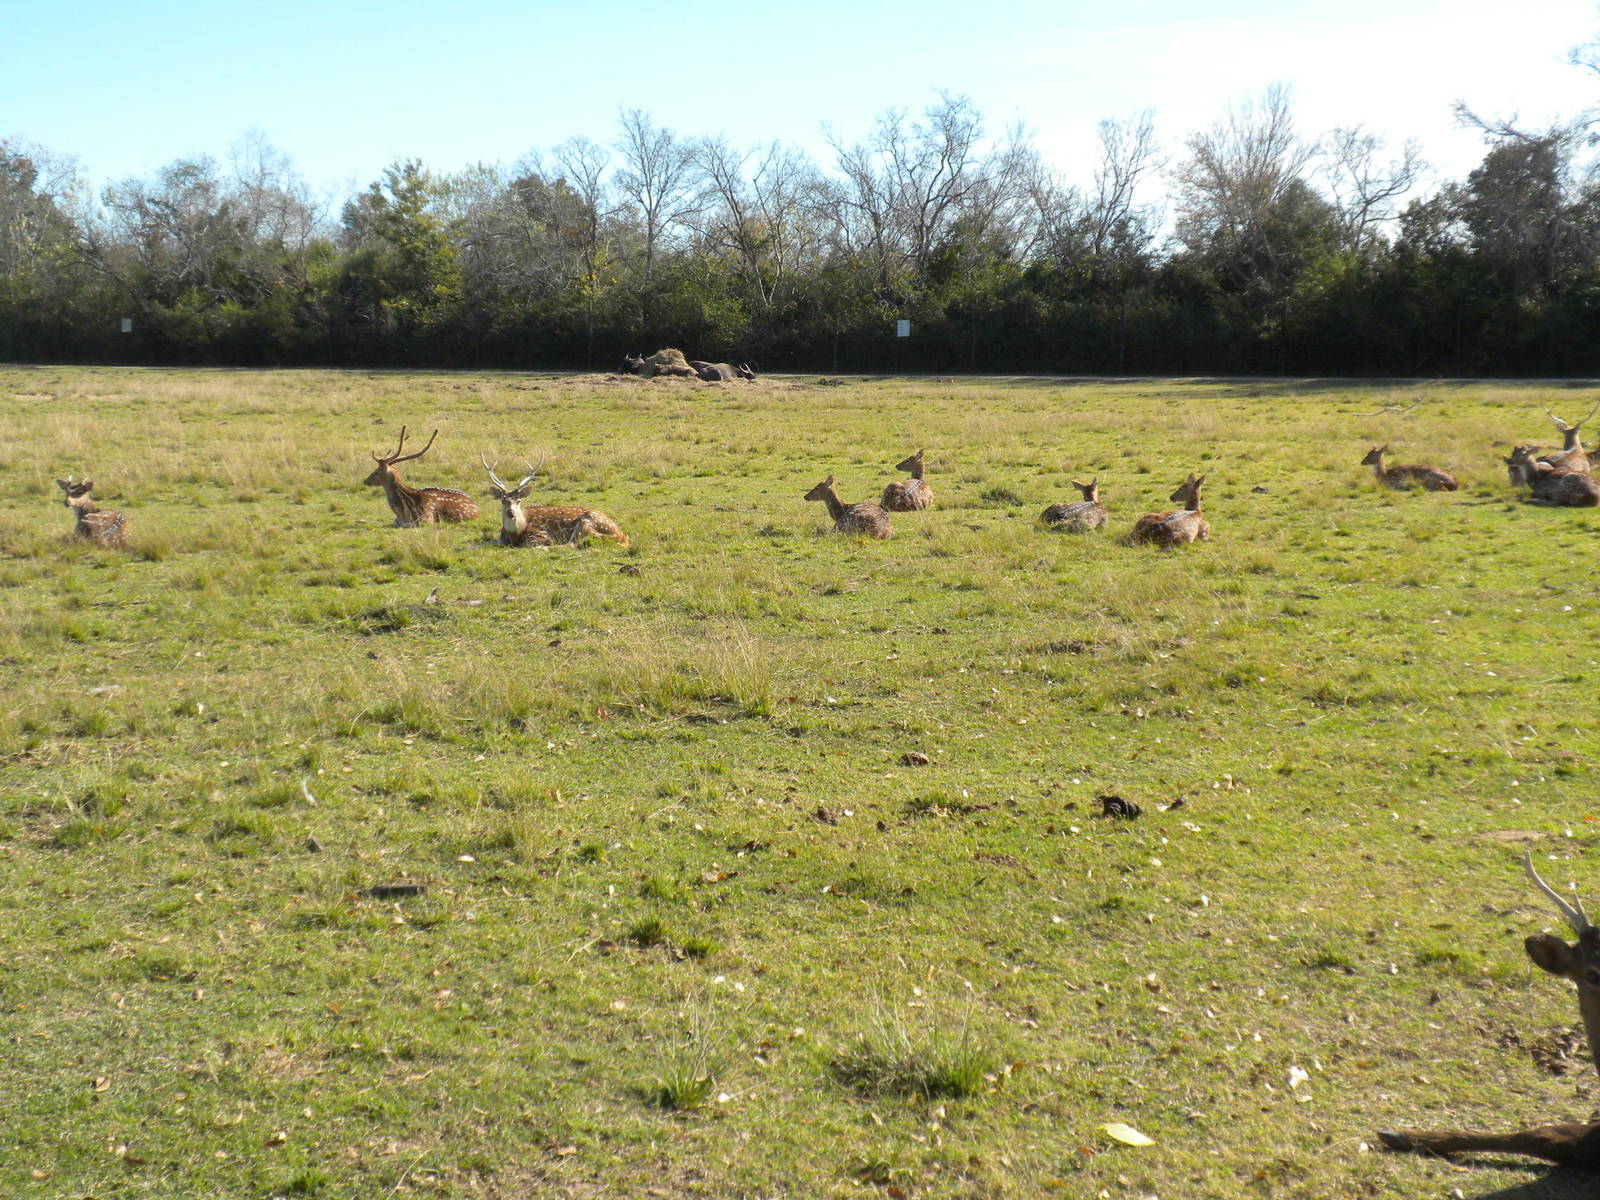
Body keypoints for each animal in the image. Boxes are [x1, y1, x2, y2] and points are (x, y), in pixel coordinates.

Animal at [481, 455, 629, 547]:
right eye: (503, 500)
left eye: (518, 500)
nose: (511, 513)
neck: (514, 534)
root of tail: (623, 537)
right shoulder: (500, 538)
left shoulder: (541, 534)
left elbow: (527, 543)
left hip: (587, 523)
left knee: (571, 545)